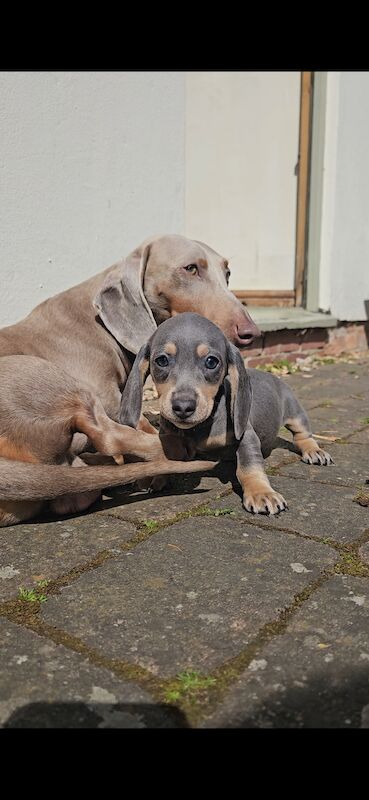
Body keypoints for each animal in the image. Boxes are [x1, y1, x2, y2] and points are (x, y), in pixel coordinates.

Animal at [0, 236, 258, 524]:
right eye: (191, 268)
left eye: (228, 273)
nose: (251, 332)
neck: (98, 324)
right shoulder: (108, 397)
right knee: (109, 436)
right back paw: (174, 449)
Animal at [119, 310, 332, 516]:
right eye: (162, 360)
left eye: (211, 362)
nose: (183, 406)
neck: (199, 428)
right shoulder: (169, 438)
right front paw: (156, 477)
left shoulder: (246, 436)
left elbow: (249, 467)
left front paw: (261, 493)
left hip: (295, 413)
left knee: (302, 434)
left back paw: (314, 451)